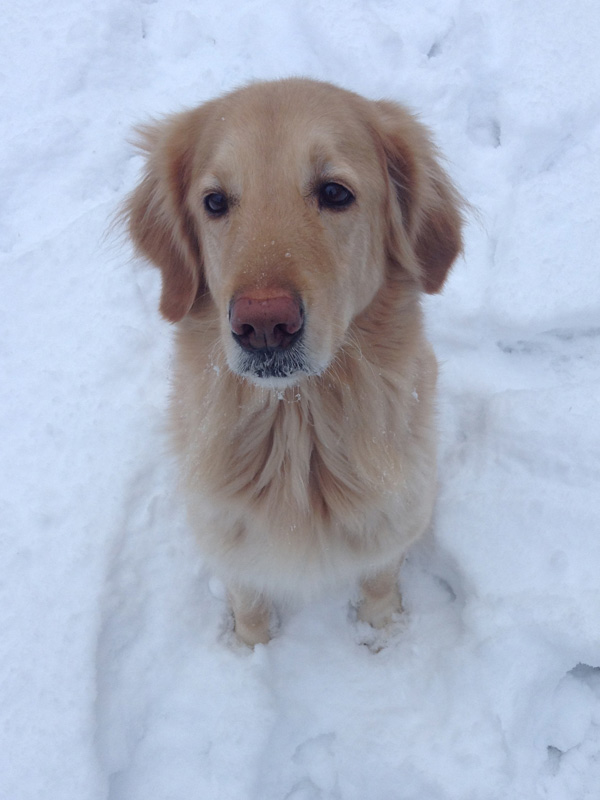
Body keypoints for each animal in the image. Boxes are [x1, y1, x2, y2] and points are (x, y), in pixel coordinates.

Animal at [124, 79, 464, 644]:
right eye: (214, 202)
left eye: (334, 193)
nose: (263, 325)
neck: (295, 425)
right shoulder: (224, 533)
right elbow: (247, 597)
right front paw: (251, 645)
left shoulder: (395, 516)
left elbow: (378, 576)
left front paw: (384, 632)